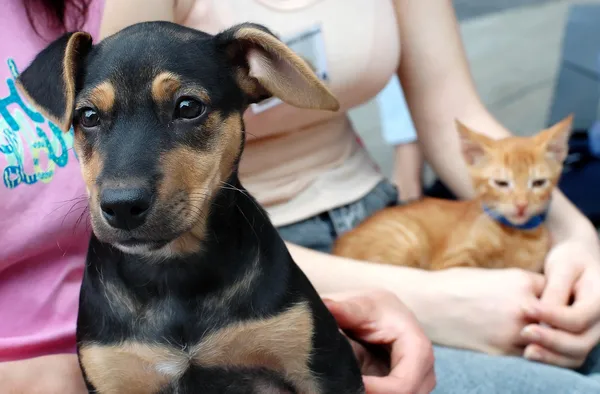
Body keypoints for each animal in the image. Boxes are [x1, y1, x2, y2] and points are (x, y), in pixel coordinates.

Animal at [17, 22, 366, 394]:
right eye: (88, 116)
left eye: (188, 107)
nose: (122, 206)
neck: (173, 268)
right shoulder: (112, 374)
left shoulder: (326, 367)